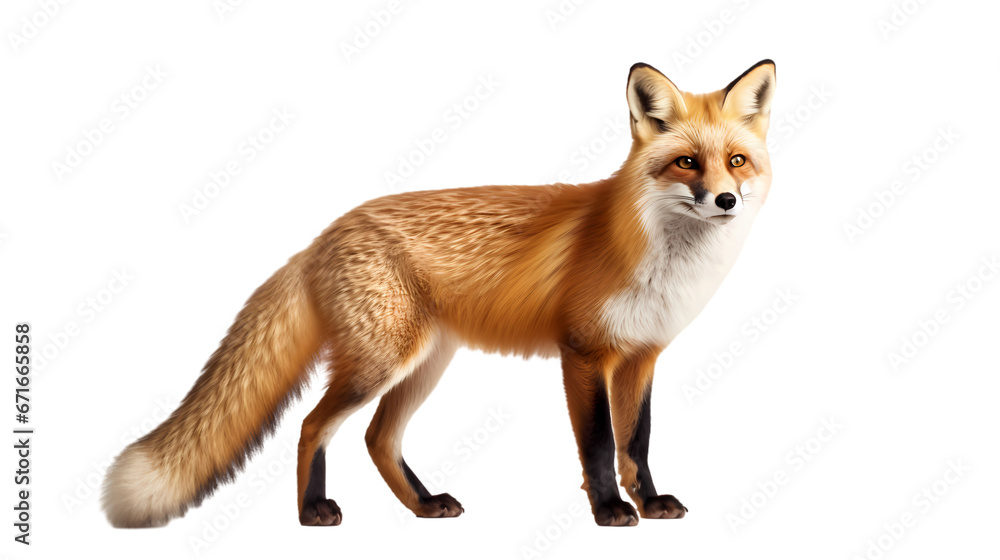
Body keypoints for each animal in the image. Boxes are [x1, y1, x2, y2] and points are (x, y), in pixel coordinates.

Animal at [103, 59, 776, 528]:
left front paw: (652, 502)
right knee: (313, 426)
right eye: (687, 163)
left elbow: (636, 442)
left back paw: (424, 507)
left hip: (426, 364)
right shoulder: (583, 354)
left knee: (378, 439)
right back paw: (312, 513)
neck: (662, 262)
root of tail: (322, 236)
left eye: (737, 161)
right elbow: (599, 445)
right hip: (382, 362)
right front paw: (610, 512)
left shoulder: (641, 356)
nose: (726, 200)